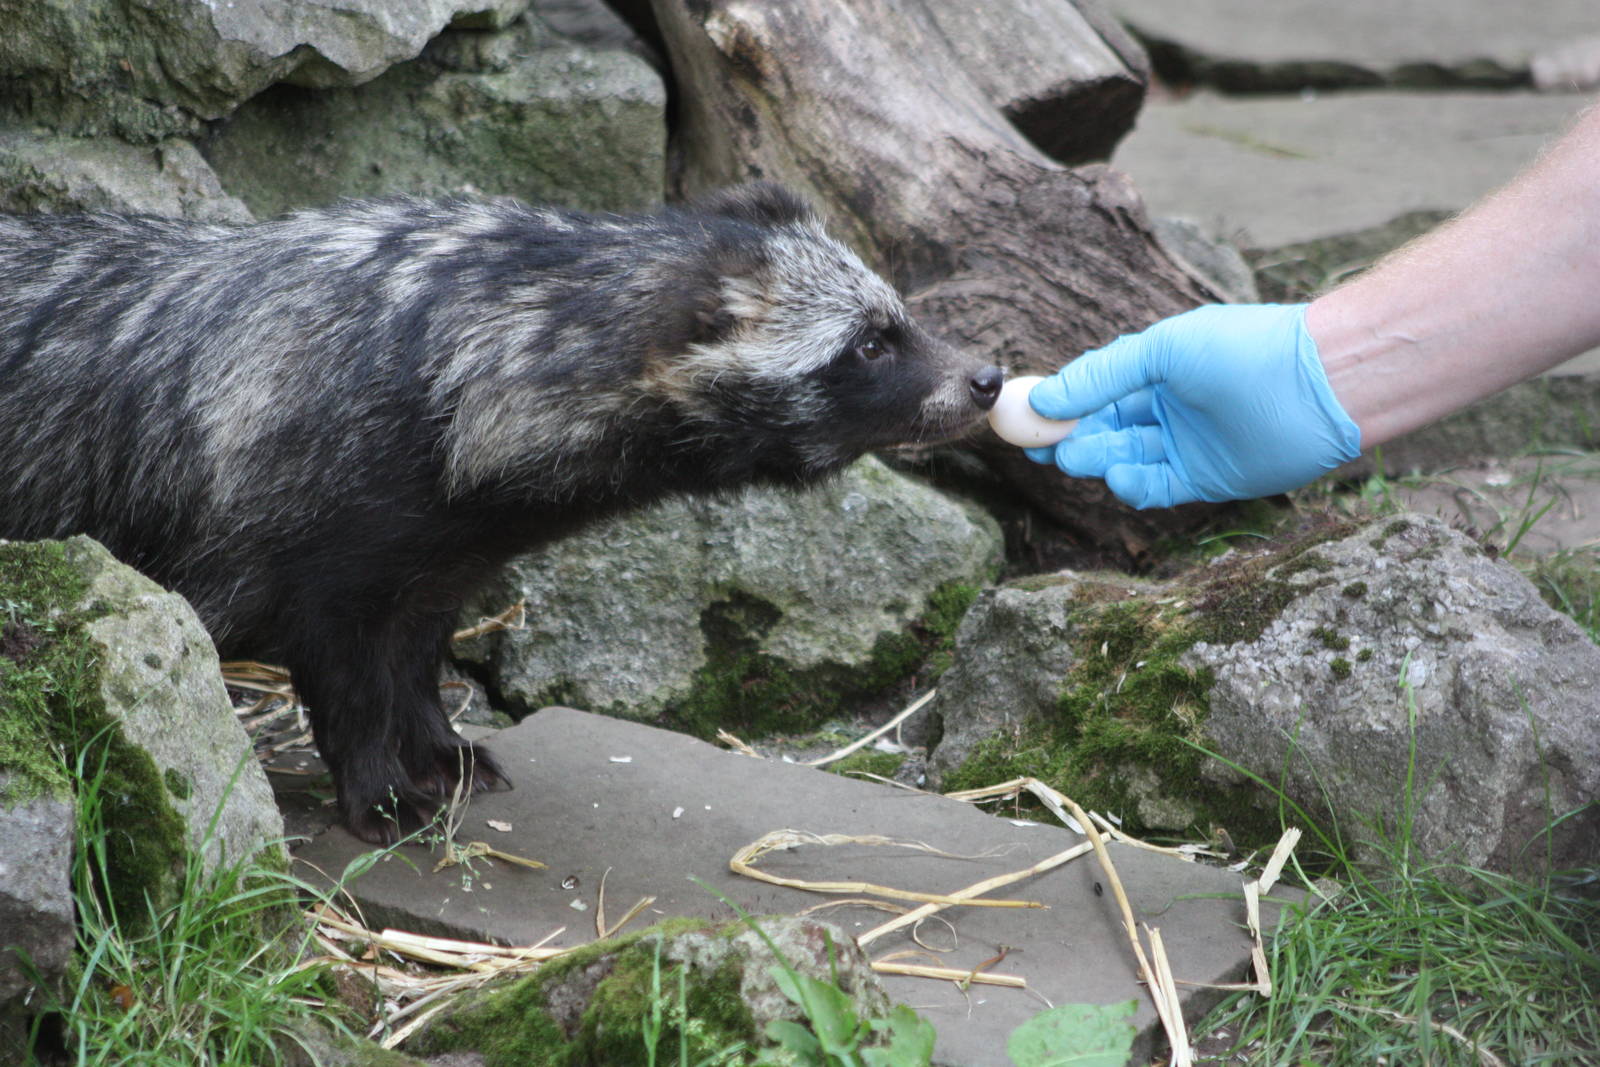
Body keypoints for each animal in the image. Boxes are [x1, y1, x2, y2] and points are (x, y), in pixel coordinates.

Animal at [0, 184, 1003, 842]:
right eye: (870, 343)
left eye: (899, 316)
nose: (985, 376)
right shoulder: (318, 522)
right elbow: (346, 673)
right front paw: (381, 792)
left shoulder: (443, 543)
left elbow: (414, 653)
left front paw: (443, 751)